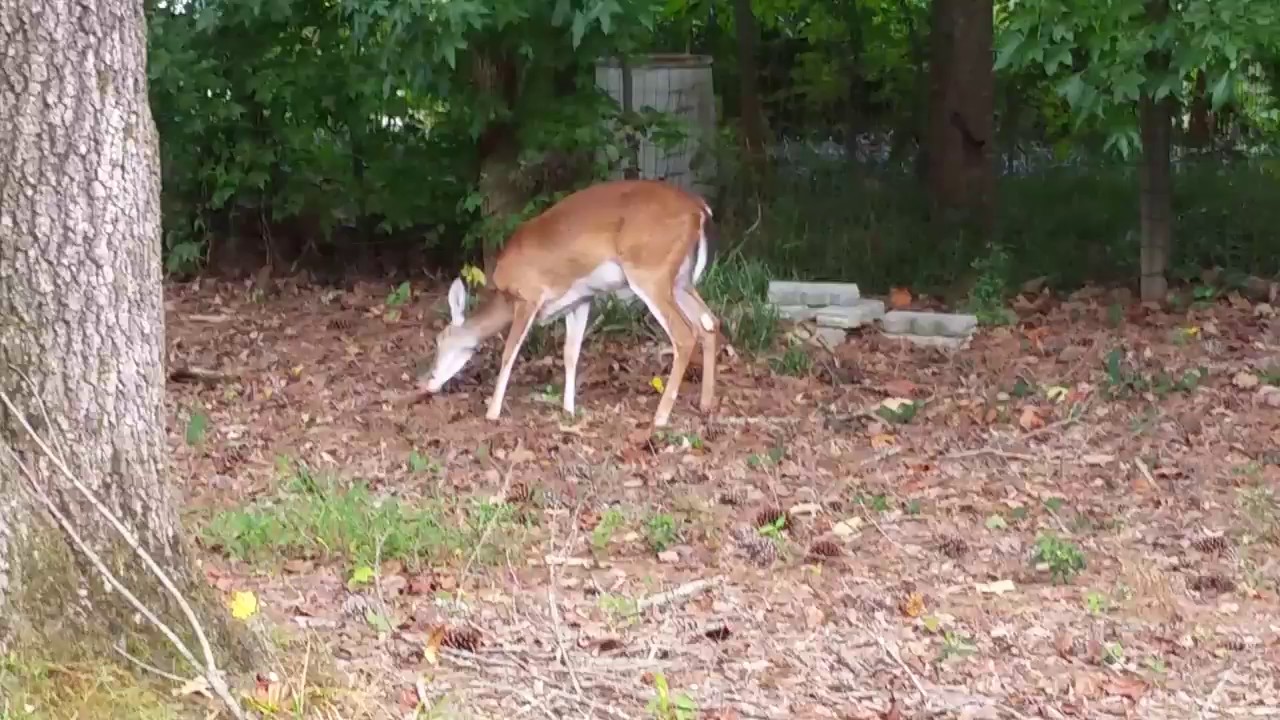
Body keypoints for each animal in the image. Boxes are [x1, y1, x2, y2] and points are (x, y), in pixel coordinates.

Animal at [417, 179, 720, 428]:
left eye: (439, 340)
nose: (426, 382)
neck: (505, 296)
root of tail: (699, 209)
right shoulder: (580, 298)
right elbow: (570, 353)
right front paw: (568, 410)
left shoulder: (529, 296)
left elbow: (509, 352)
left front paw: (492, 412)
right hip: (680, 280)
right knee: (709, 322)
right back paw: (705, 404)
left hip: (650, 271)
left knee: (684, 334)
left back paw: (660, 417)